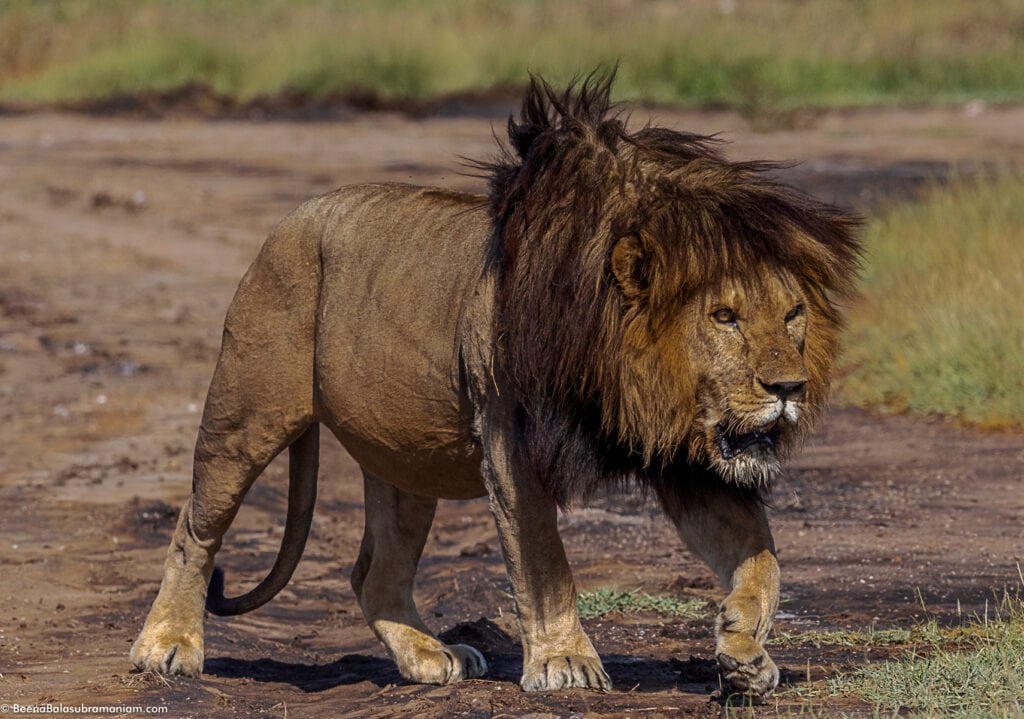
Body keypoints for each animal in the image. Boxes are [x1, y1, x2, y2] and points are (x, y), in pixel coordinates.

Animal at [130, 75, 864, 700]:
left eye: (793, 314)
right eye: (724, 316)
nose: (789, 386)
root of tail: (293, 216)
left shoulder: (688, 459)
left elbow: (760, 560)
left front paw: (745, 653)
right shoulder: (513, 439)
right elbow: (543, 558)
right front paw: (565, 662)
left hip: (405, 461)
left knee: (375, 573)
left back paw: (431, 655)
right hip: (245, 411)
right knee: (195, 527)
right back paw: (167, 645)